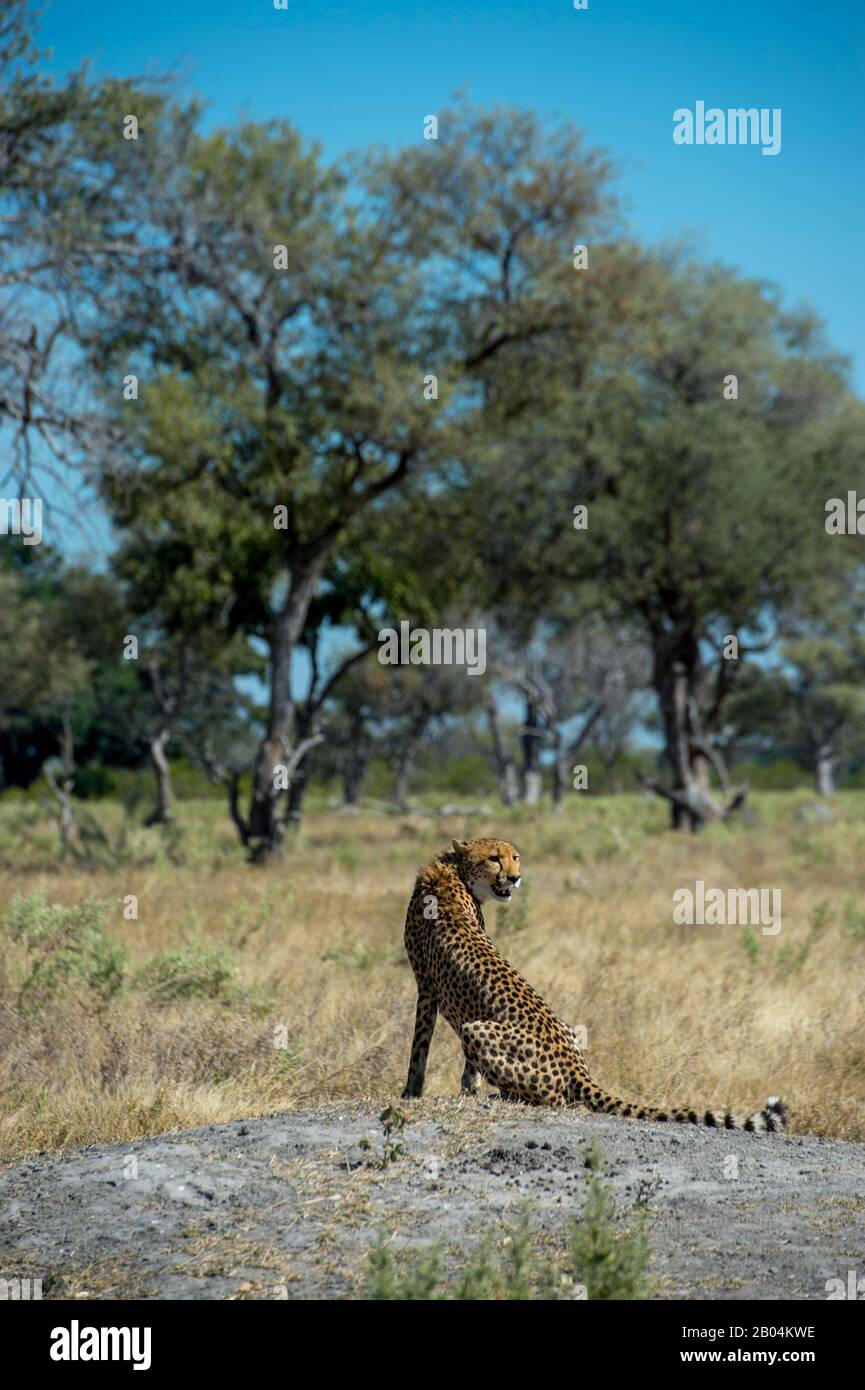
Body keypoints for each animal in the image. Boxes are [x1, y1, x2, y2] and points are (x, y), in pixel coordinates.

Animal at [401, 837, 787, 1134]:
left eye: (515, 856)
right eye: (494, 858)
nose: (515, 878)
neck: (454, 871)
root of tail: (576, 1066)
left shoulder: (426, 987)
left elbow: (419, 1049)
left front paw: (411, 1093)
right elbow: (460, 1066)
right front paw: (466, 1091)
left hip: (476, 1030)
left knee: (558, 1100)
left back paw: (505, 1096)